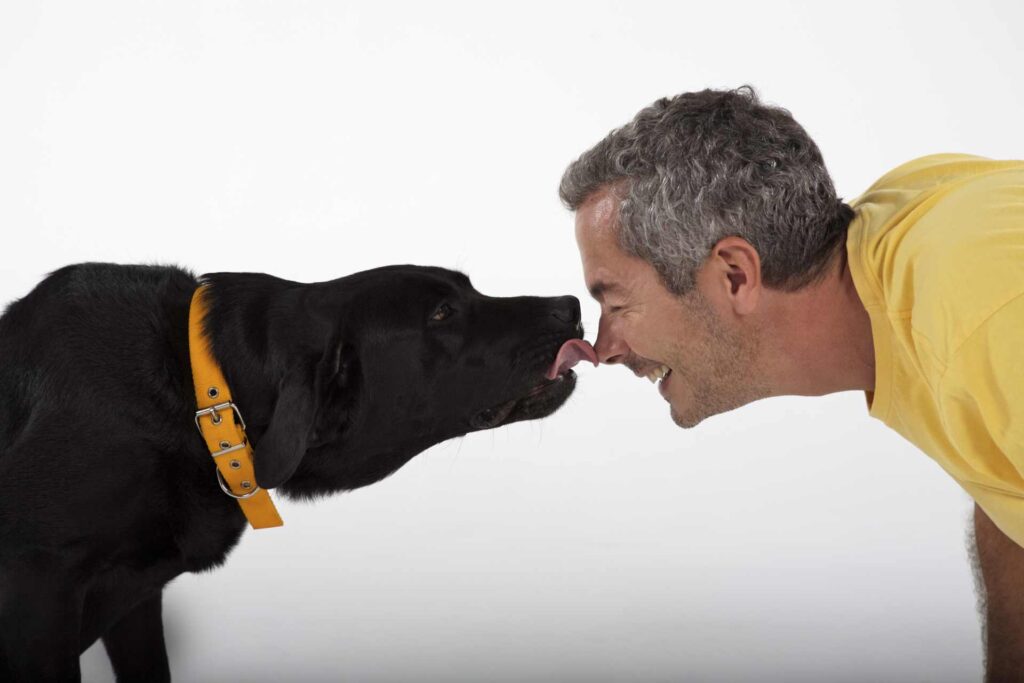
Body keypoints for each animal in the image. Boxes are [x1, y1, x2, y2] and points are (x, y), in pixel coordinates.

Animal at [0, 260, 593, 679]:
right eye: (441, 314)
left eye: (469, 291)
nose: (571, 307)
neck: (200, 395)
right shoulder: (40, 588)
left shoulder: (138, 600)